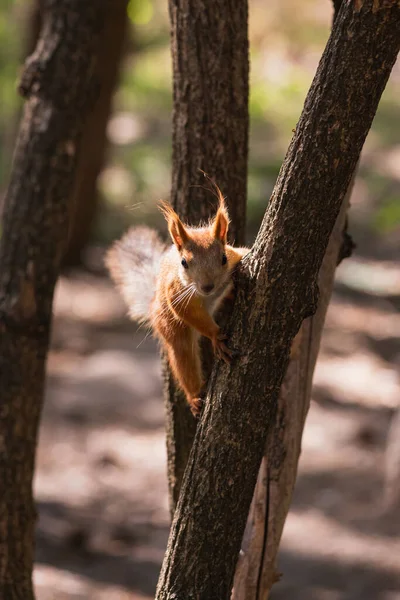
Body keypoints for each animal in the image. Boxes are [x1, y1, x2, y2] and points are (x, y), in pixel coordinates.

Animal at [106, 188, 250, 418]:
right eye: (184, 263)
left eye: (224, 258)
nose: (208, 286)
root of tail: (152, 304)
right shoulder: (176, 293)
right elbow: (187, 312)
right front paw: (216, 336)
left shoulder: (238, 255)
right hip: (171, 328)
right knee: (184, 360)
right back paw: (195, 398)